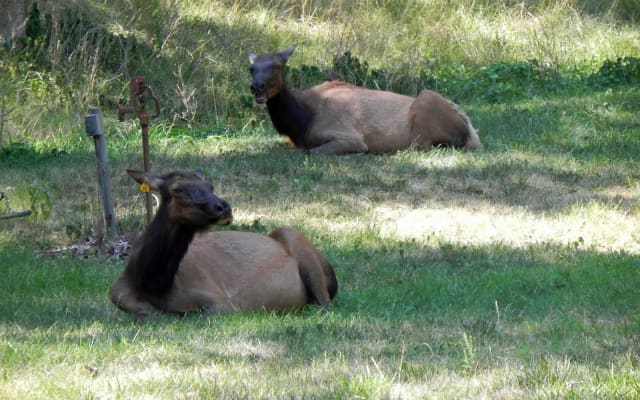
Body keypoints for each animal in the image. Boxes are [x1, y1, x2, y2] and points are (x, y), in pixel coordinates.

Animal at [110, 170, 338, 321]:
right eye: (177, 189)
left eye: (210, 186)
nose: (223, 207)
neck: (151, 282)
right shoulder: (117, 294)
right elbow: (148, 312)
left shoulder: (221, 302)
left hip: (295, 239)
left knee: (325, 304)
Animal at [248, 46, 481, 154]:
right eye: (251, 68)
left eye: (277, 66)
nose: (256, 86)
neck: (300, 122)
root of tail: (471, 133)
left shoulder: (348, 136)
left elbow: (312, 152)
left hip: (426, 101)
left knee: (417, 147)